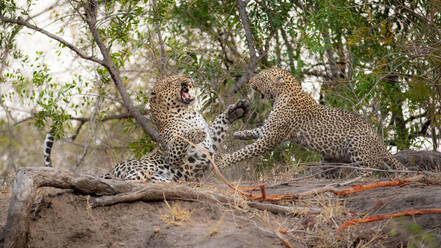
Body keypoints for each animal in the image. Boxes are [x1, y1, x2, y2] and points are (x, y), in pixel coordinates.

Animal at [45, 74, 251, 181]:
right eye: (173, 80)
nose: (188, 77)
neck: (188, 113)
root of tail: (109, 171)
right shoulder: (176, 157)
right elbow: (180, 140)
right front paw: (194, 133)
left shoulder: (210, 142)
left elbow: (217, 126)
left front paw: (236, 110)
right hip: (141, 169)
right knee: (132, 181)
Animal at [215, 68, 404, 172]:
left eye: (261, 77)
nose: (250, 81)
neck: (281, 96)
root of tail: (379, 142)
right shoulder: (270, 129)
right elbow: (255, 131)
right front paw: (238, 134)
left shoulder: (271, 138)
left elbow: (244, 152)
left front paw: (223, 161)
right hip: (330, 158)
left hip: (359, 151)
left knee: (369, 171)